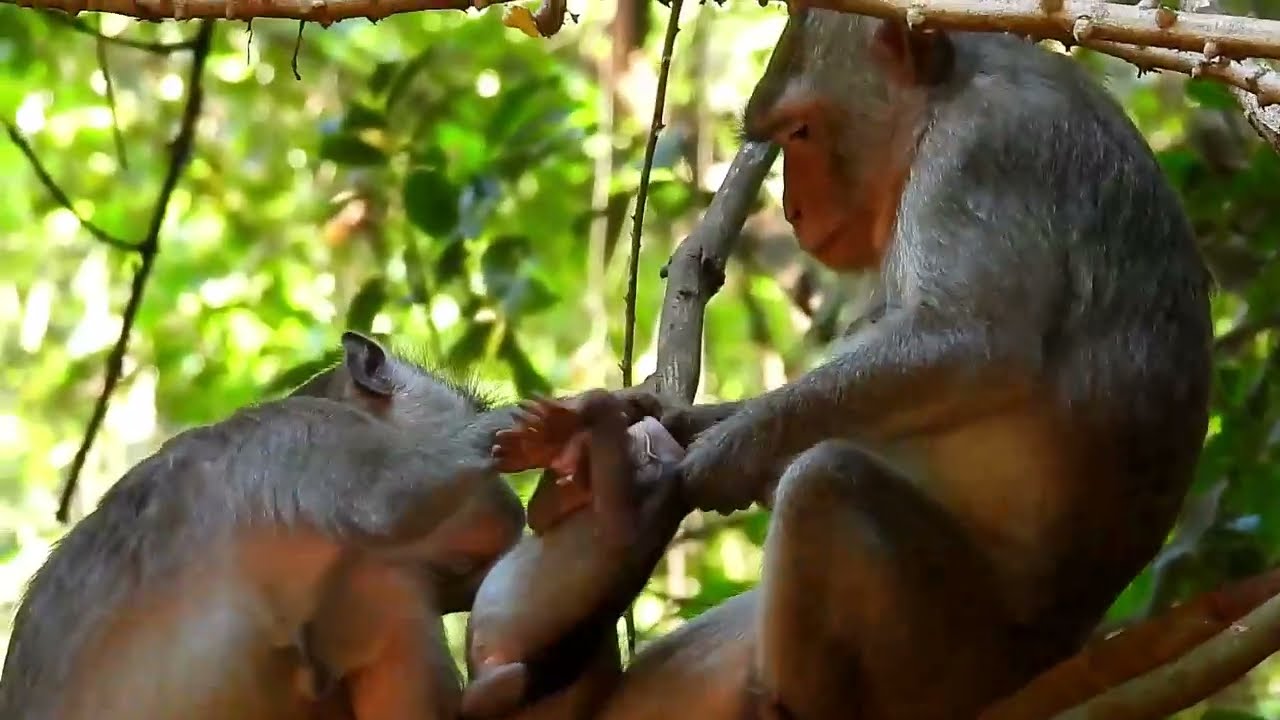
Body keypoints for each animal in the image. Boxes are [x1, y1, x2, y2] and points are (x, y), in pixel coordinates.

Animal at [462, 391, 690, 719]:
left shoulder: (651, 501)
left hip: (500, 684)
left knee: (507, 684)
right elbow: (539, 515)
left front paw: (592, 410)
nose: (647, 419)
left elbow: (620, 530)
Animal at [599, 7, 1214, 720]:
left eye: (801, 131)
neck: (941, 101)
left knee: (827, 483)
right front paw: (687, 420)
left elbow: (971, 345)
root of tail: (1051, 657)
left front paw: (732, 450)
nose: (791, 209)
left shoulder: (979, 156)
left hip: (953, 655)